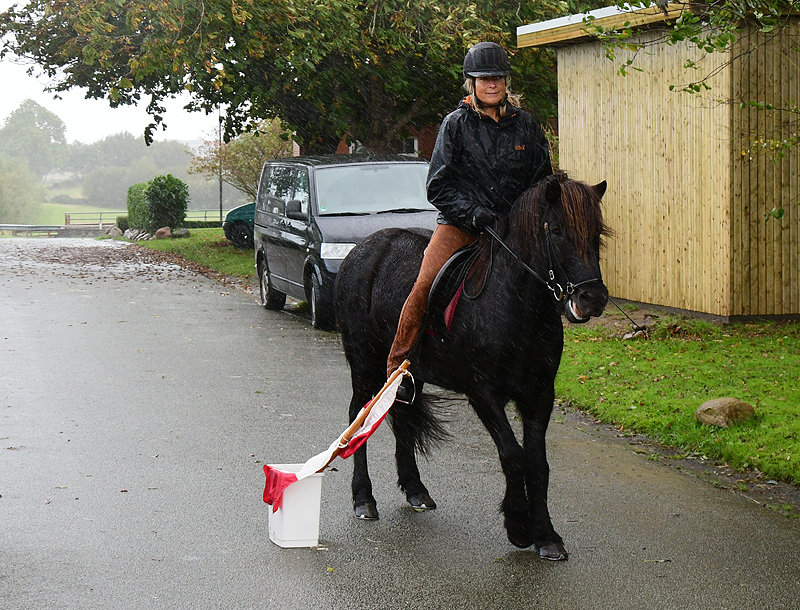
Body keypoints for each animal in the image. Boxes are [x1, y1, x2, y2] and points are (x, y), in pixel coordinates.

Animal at [334, 172, 608, 560]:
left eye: (597, 231)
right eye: (555, 230)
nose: (592, 298)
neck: (515, 306)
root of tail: (361, 251)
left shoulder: (540, 395)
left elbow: (537, 462)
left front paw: (547, 536)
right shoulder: (483, 394)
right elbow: (513, 455)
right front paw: (518, 526)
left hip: (405, 372)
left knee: (402, 417)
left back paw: (416, 489)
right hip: (363, 361)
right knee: (358, 414)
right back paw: (363, 498)